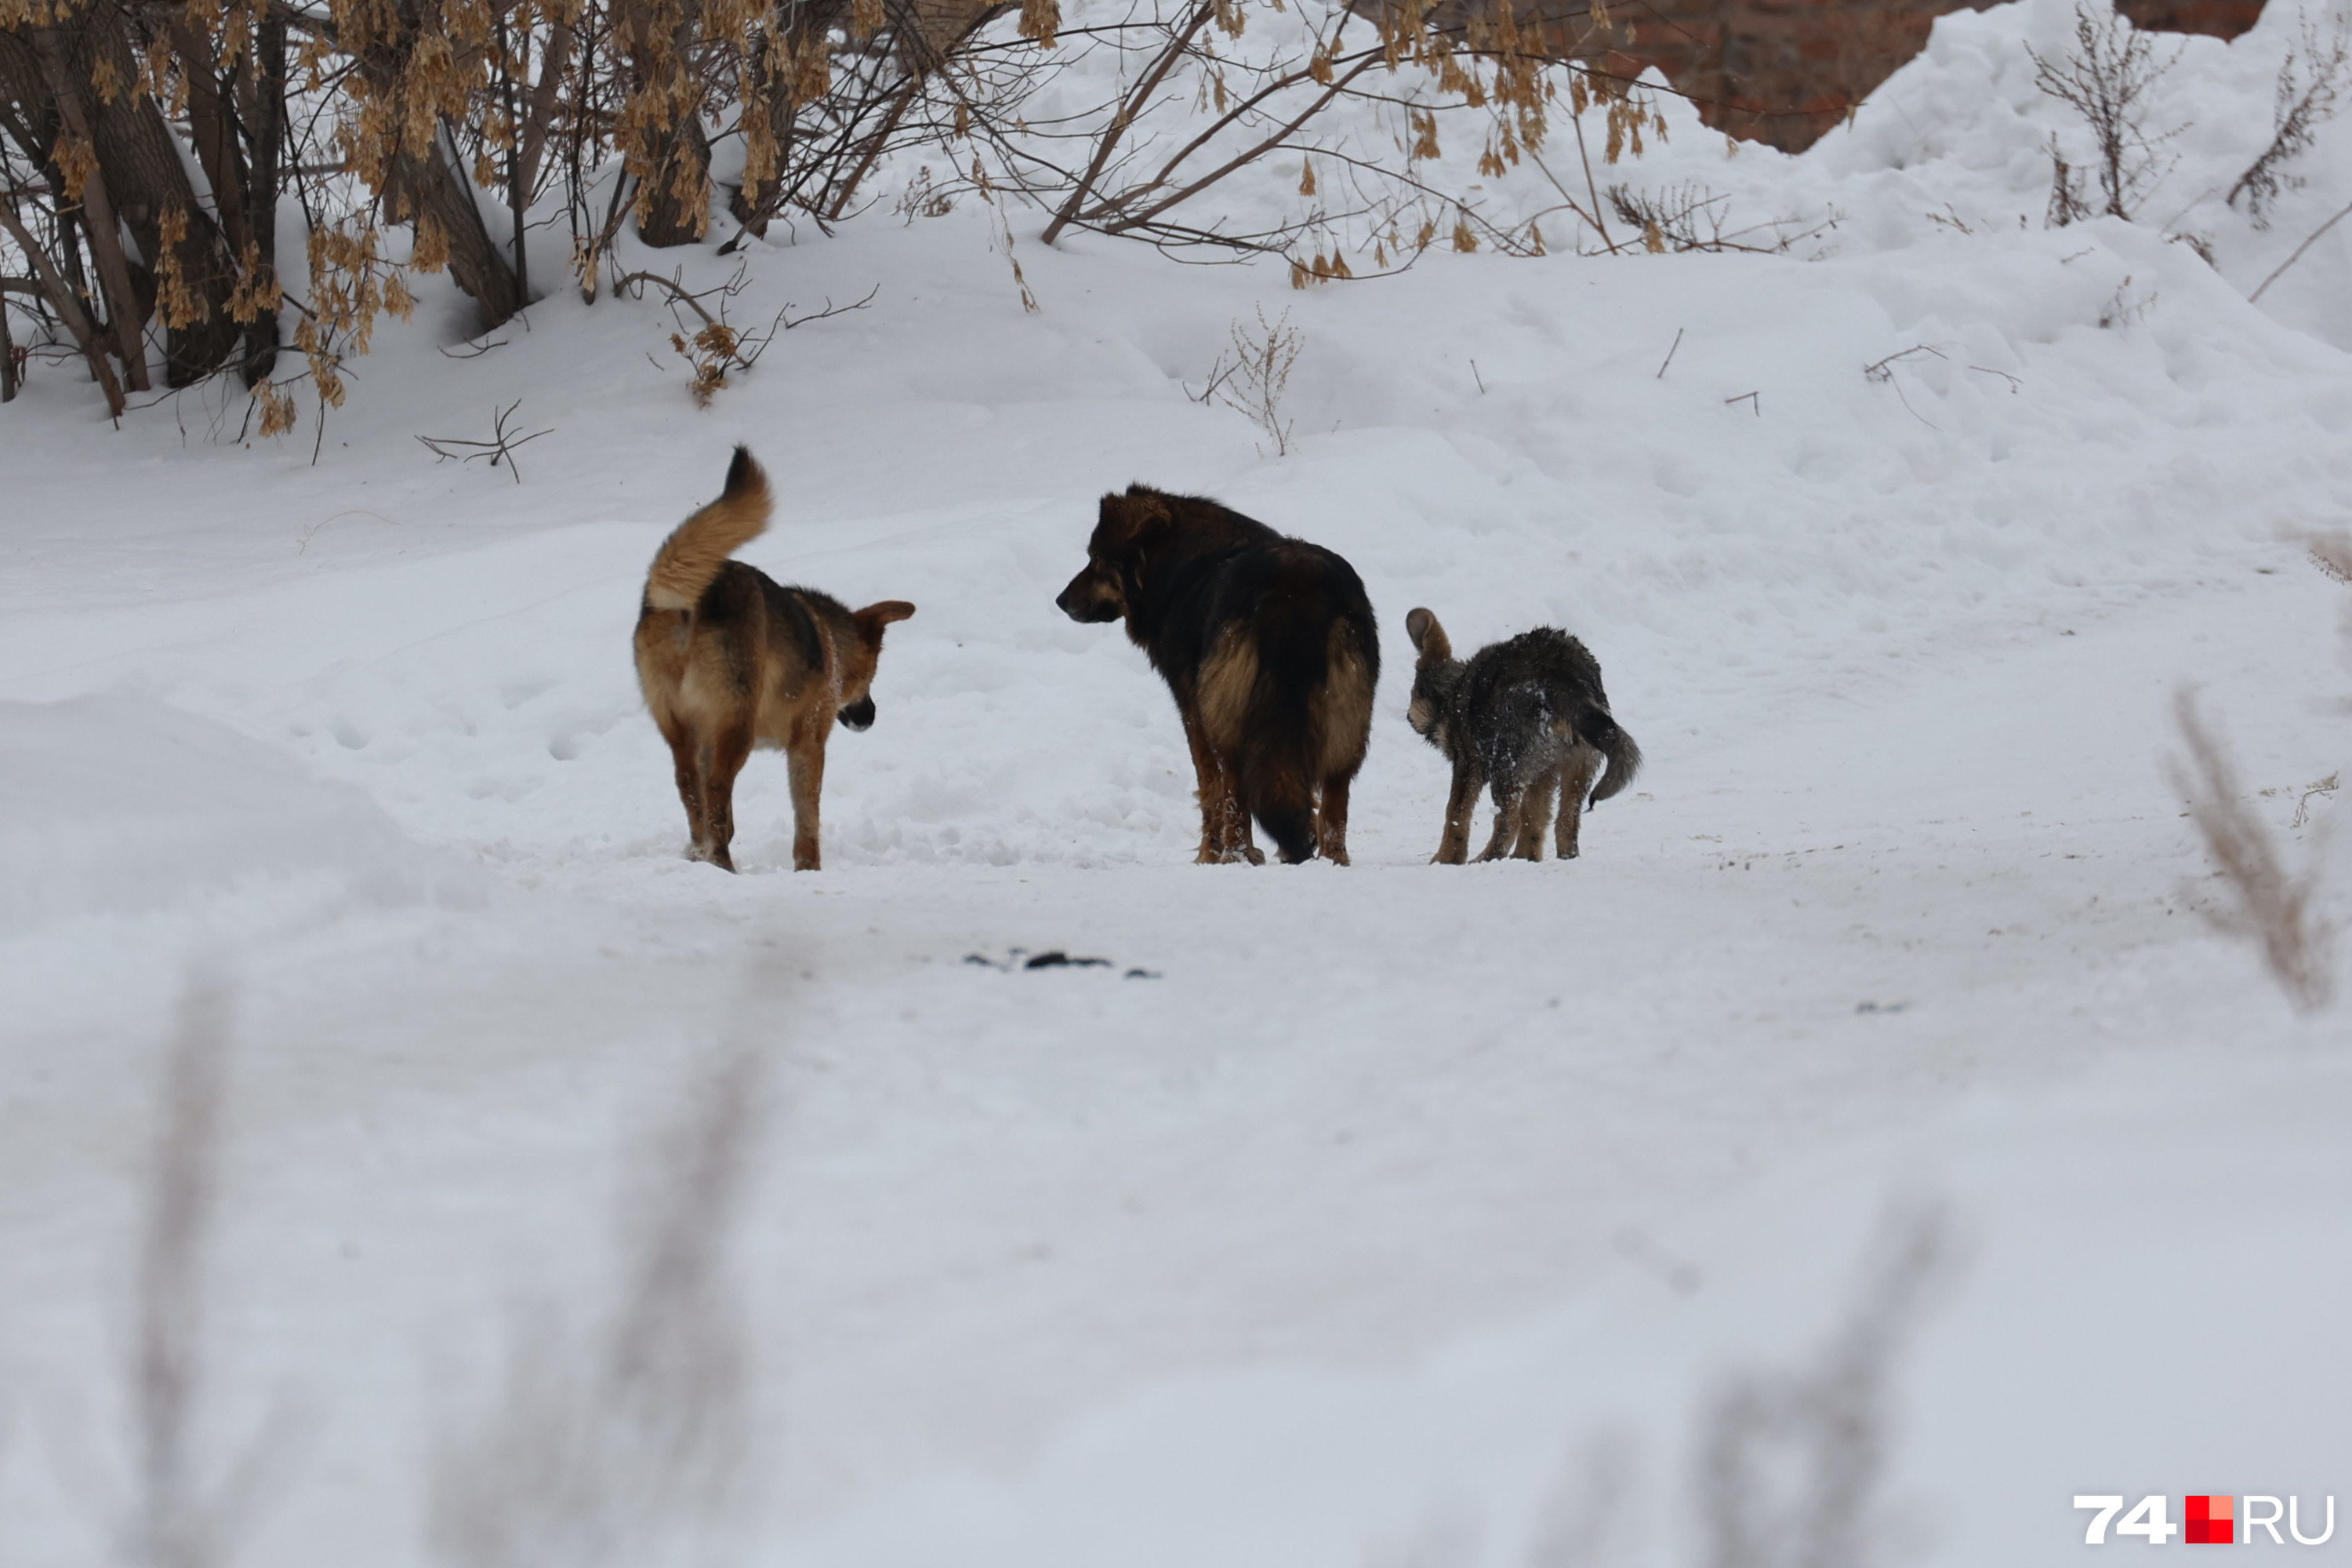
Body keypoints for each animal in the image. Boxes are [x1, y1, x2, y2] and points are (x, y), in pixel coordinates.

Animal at [635, 446, 917, 879]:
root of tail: (686, 599)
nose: (869, 717)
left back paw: (702, 856)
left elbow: (724, 815)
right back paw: (722, 864)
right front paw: (809, 869)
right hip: (737, 727)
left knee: (690, 788)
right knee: (715, 788)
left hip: (681, 728)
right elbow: (807, 818)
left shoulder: (703, 738)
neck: (831, 643)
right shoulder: (809, 744)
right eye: (871, 675)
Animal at [1054, 484, 1374, 865]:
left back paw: (1235, 856)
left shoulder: (1193, 709)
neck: (1178, 565)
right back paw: (1331, 859)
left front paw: (1209, 854)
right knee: (1334, 800)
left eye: (1097, 558)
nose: (1060, 601)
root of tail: (1295, 583)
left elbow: (1210, 788)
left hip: (1229, 712)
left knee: (1235, 788)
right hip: (1345, 720)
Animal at [1402, 606, 1646, 865]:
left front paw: (1445, 858)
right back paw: (1544, 857)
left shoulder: (1469, 762)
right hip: (1580, 764)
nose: (1408, 717)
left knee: (1509, 821)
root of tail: (1563, 678)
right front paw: (1526, 857)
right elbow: (1535, 819)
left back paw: (1485, 859)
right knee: (1566, 822)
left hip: (1505, 766)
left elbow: (1456, 813)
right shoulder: (1544, 772)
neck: (1452, 691)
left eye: (1414, 692)